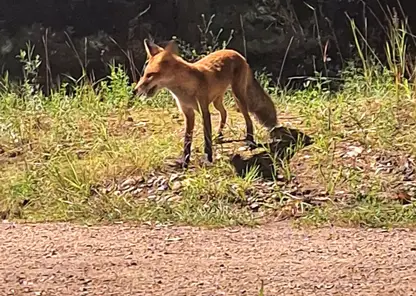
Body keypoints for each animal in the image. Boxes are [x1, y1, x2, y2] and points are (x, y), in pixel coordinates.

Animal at [135, 39, 280, 169]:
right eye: (144, 74)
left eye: (151, 75)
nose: (135, 90)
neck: (185, 91)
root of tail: (236, 53)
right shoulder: (188, 113)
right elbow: (187, 141)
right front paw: (184, 162)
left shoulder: (204, 110)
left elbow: (206, 138)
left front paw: (207, 158)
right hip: (217, 101)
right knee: (224, 113)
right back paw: (219, 135)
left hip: (238, 97)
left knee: (248, 119)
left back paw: (250, 141)